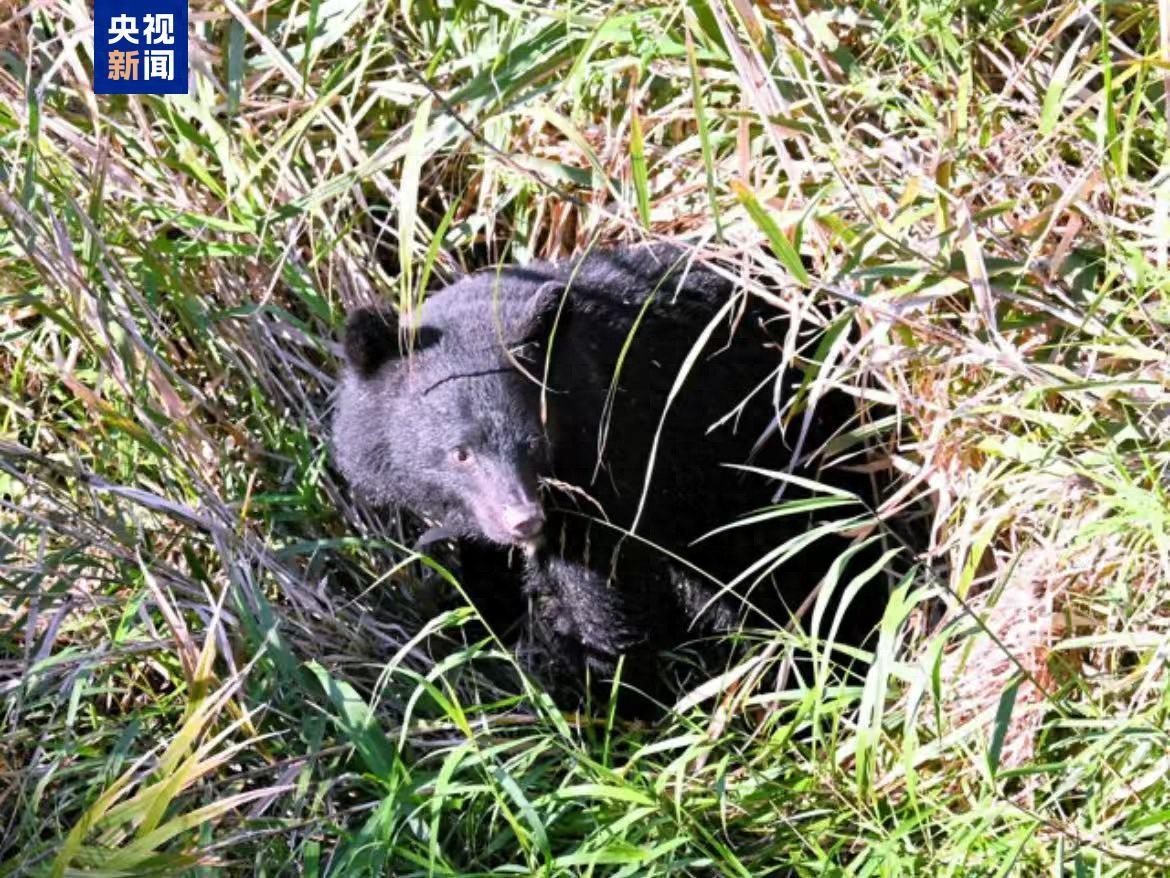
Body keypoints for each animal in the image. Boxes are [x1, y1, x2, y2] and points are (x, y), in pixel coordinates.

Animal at [332, 244, 882, 708]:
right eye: (461, 453)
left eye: (535, 441)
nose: (525, 521)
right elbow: (485, 566)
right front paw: (491, 632)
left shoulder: (613, 464)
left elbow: (602, 587)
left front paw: (613, 699)